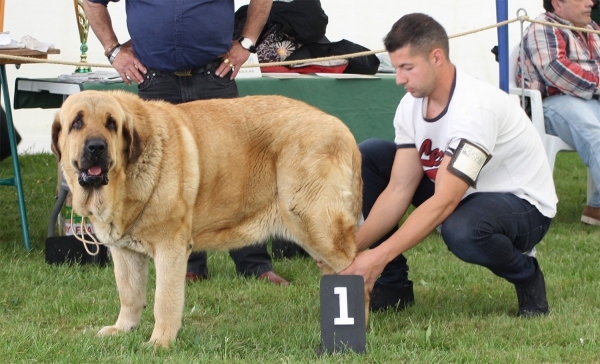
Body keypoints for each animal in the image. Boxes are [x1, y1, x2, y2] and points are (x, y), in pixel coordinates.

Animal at [50, 90, 366, 346]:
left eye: (111, 124)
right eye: (77, 123)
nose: (96, 147)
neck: (126, 179)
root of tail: (343, 130)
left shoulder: (170, 248)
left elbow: (164, 300)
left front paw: (159, 342)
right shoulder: (125, 251)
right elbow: (129, 294)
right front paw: (123, 329)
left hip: (315, 223)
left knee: (358, 269)